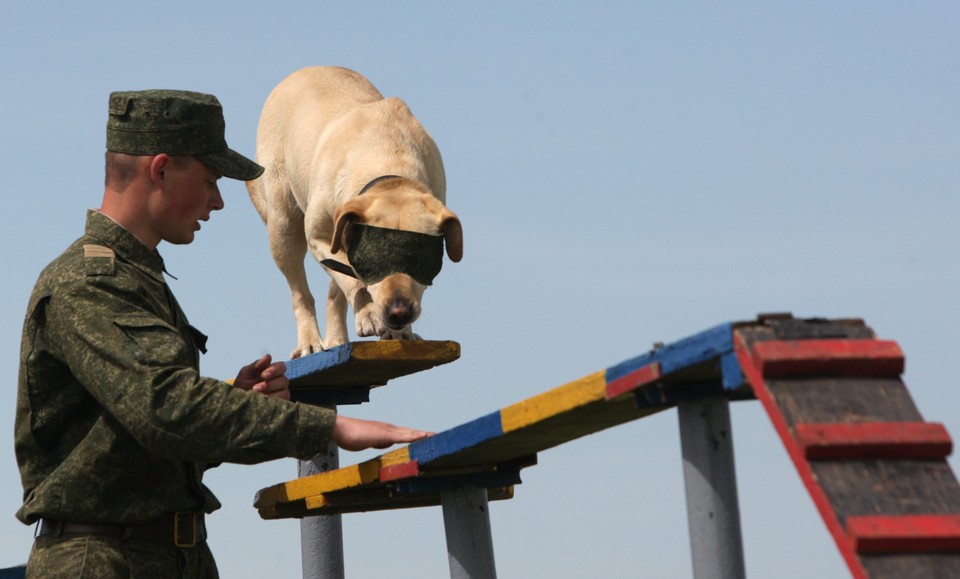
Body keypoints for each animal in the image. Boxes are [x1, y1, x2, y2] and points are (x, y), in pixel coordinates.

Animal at [246, 68, 460, 358]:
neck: (389, 162)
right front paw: (369, 314)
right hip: (283, 224)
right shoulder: (320, 237)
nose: (399, 313)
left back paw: (338, 339)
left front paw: (397, 331)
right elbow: (353, 279)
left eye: (421, 261)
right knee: (301, 292)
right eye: (375, 261)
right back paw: (310, 343)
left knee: (333, 290)